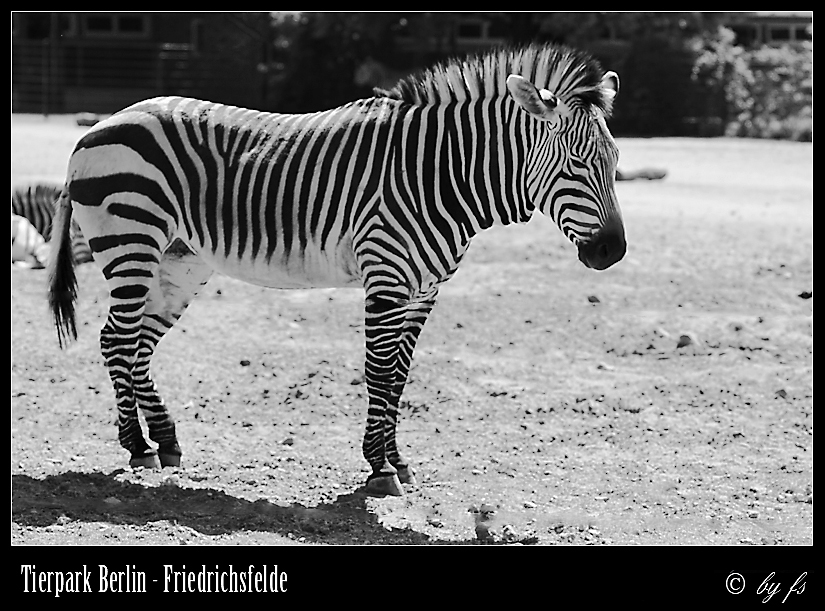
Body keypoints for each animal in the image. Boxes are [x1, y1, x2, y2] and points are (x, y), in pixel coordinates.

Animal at [48, 45, 624, 500]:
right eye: (576, 163)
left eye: (617, 161)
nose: (613, 252)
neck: (441, 172)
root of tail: (99, 125)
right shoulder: (387, 278)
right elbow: (380, 373)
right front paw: (379, 468)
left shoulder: (424, 291)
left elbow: (400, 377)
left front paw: (397, 461)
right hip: (131, 242)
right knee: (117, 340)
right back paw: (136, 446)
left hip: (180, 259)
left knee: (139, 344)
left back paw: (164, 440)